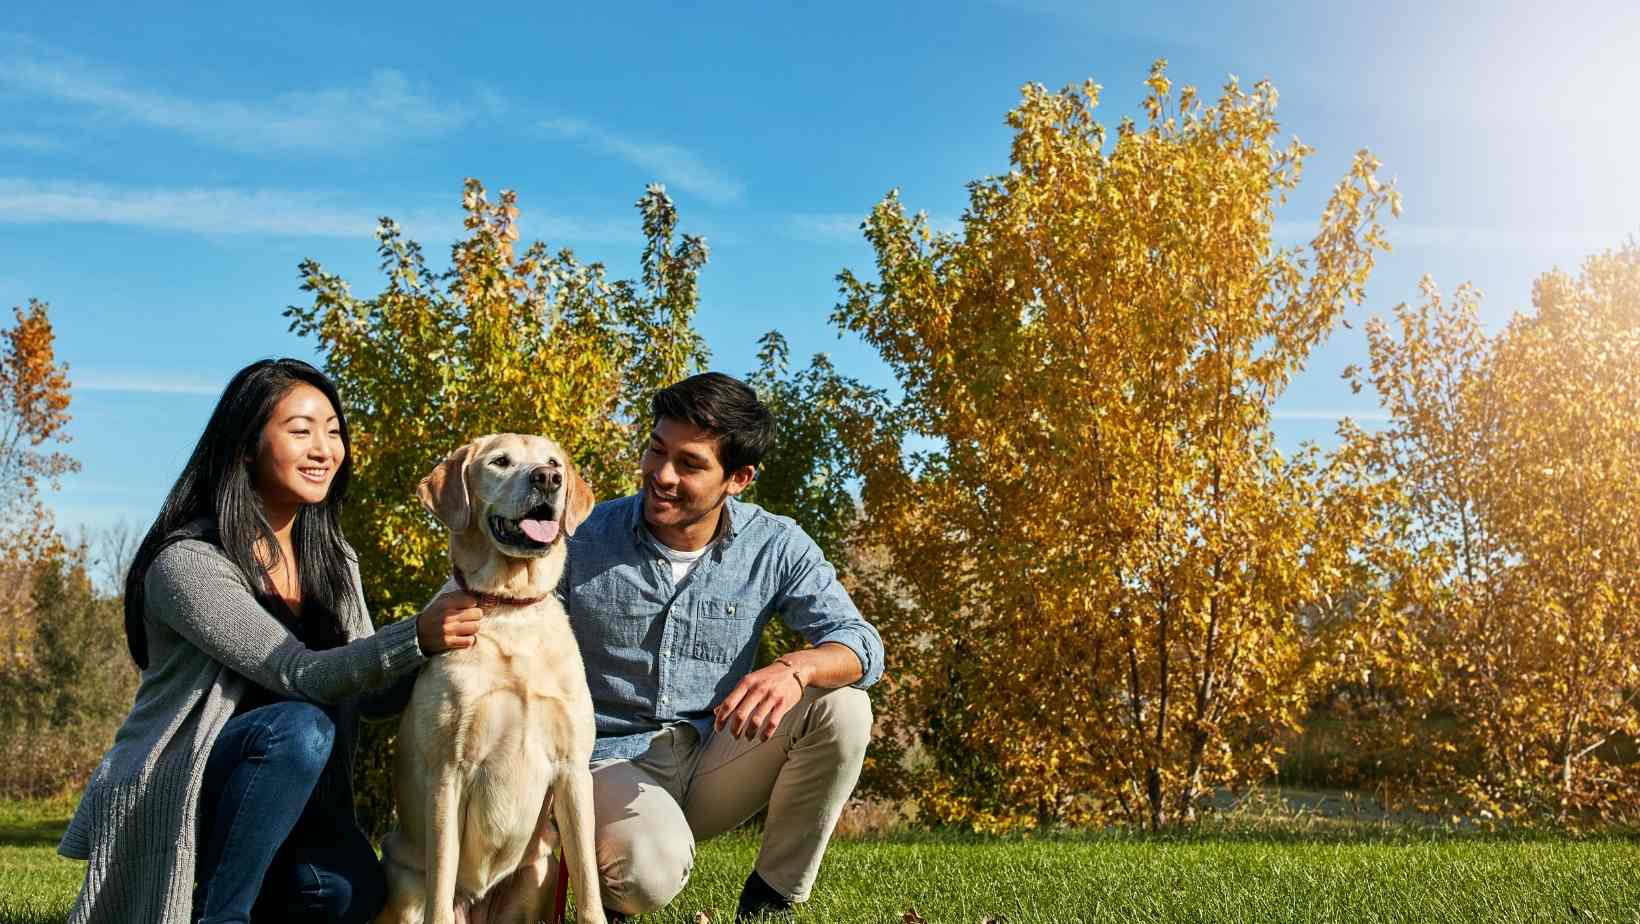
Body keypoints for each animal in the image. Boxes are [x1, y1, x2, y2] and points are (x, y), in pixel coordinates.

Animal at [377, 433, 610, 924]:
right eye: (500, 462)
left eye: (553, 461)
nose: (548, 479)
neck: (509, 607)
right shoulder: (447, 773)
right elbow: (442, 885)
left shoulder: (573, 772)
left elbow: (588, 884)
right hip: (404, 886)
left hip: (539, 873)